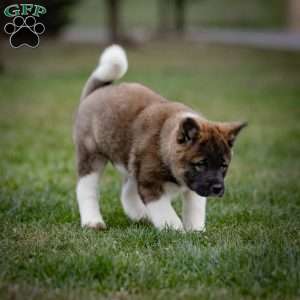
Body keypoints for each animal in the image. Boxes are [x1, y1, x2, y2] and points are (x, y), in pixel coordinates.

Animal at [73, 44, 246, 232]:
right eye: (201, 164)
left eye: (223, 166)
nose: (217, 188)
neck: (164, 145)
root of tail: (97, 91)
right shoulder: (152, 185)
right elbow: (167, 214)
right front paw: (177, 231)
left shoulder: (192, 188)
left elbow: (195, 209)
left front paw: (196, 231)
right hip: (91, 156)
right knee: (86, 189)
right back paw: (92, 221)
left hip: (132, 165)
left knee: (127, 191)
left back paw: (141, 216)